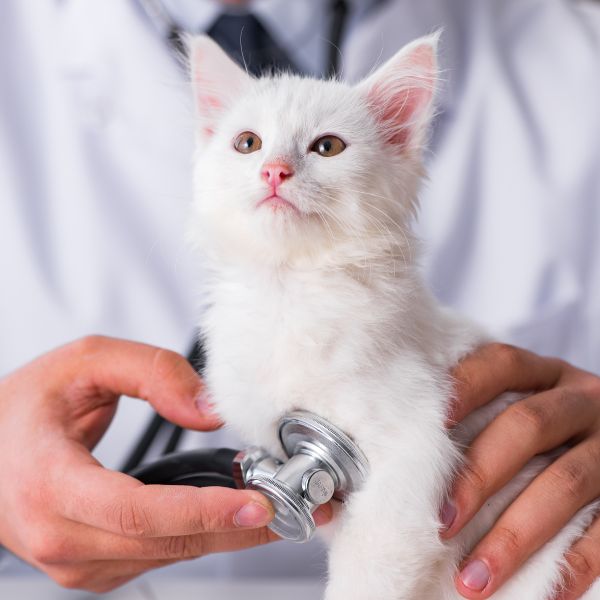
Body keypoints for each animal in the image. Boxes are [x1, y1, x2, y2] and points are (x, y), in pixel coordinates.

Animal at [188, 35, 600, 596]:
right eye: (248, 143)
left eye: (327, 148)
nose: (275, 171)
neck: (291, 290)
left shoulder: (410, 451)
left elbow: (371, 568)